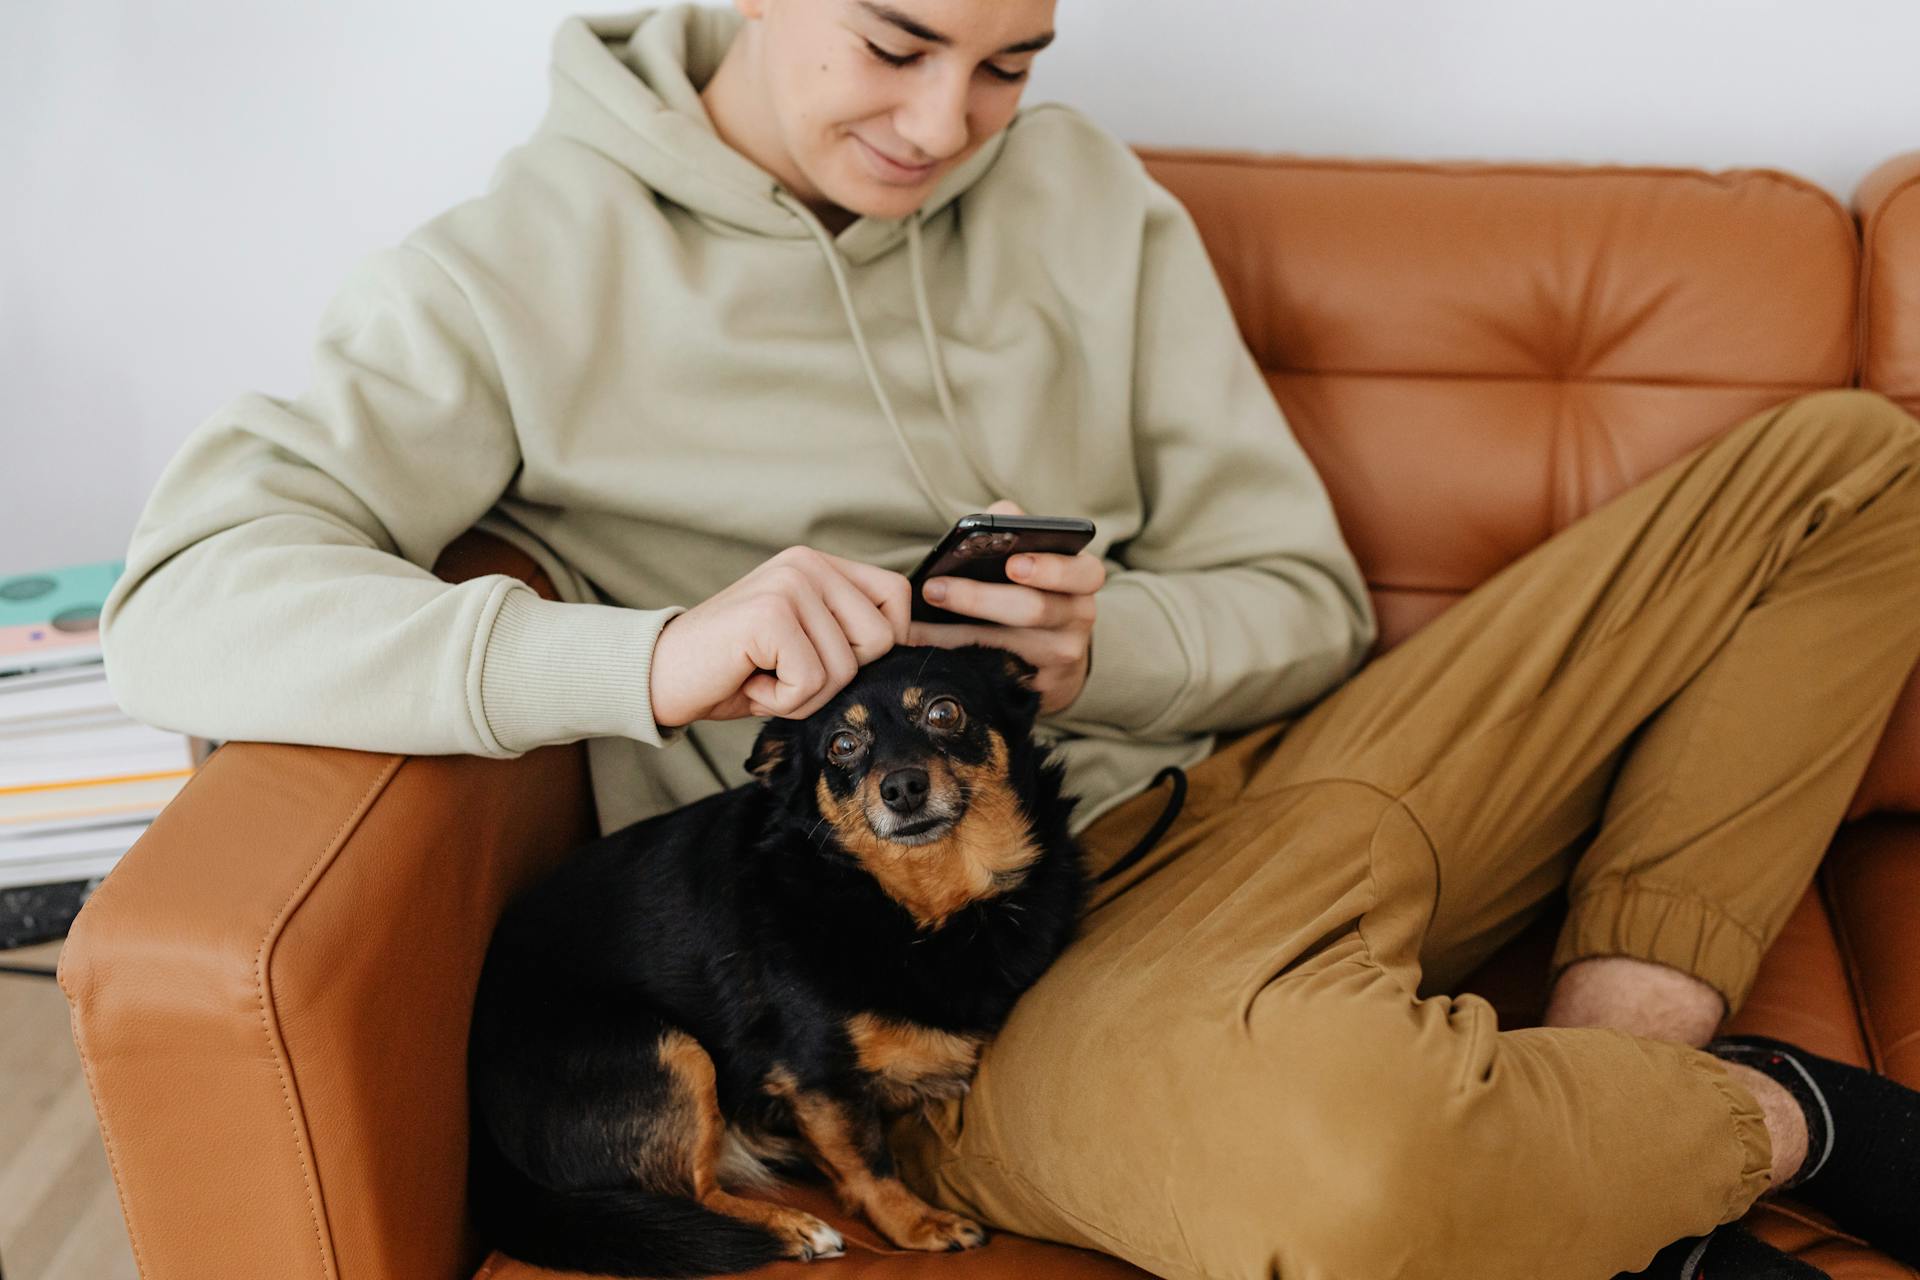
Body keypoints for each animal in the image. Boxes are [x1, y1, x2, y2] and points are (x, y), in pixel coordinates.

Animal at [462, 644, 1090, 1274]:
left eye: (944, 712)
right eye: (842, 745)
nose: (903, 788)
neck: (918, 907)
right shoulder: (819, 1076)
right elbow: (869, 1161)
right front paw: (919, 1224)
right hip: (671, 1052)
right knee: (694, 1197)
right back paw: (790, 1228)